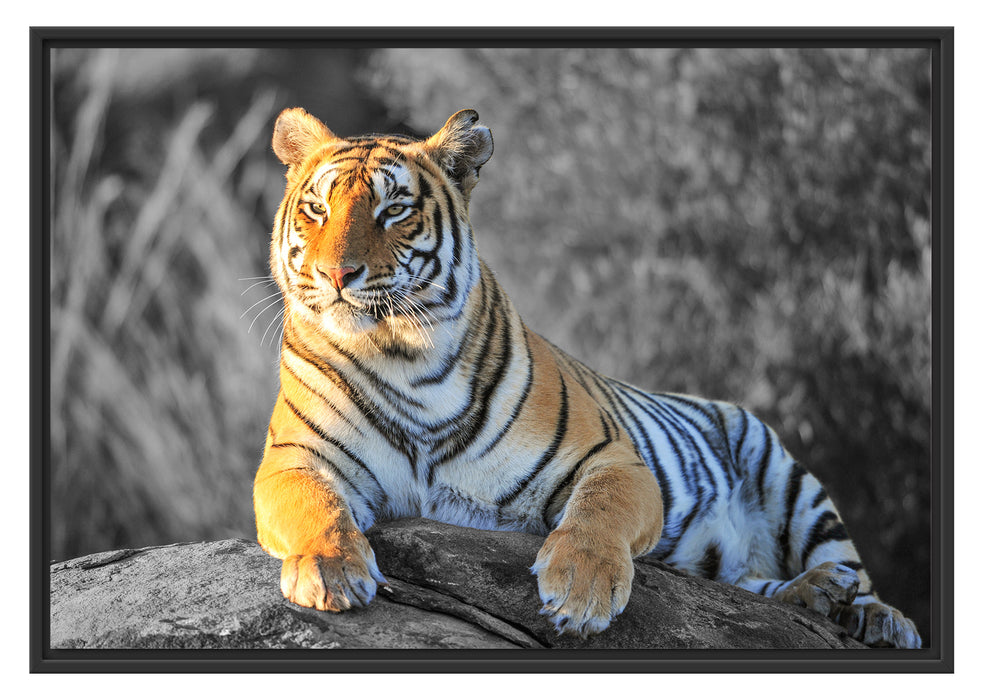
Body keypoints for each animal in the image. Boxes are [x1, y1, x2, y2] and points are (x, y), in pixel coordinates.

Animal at [252, 106, 921, 648]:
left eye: (393, 210)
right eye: (316, 209)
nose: (336, 274)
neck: (402, 357)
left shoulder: (613, 458)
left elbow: (600, 511)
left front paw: (581, 590)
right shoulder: (293, 460)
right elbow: (315, 507)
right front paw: (331, 571)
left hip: (788, 477)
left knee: (848, 567)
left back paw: (873, 614)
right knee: (750, 585)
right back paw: (816, 595)